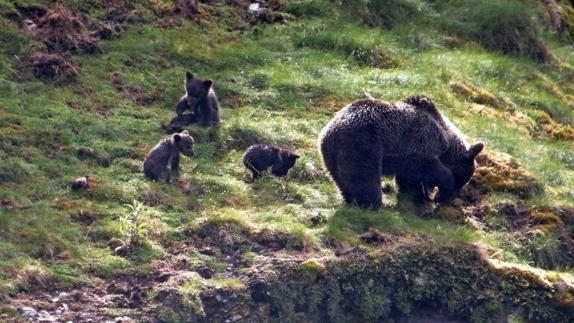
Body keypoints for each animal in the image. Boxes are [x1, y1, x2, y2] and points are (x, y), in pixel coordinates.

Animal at [320, 95, 486, 210]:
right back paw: (371, 203)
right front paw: (442, 188)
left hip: (330, 155)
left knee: (340, 178)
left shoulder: (406, 156)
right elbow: (427, 168)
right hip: (363, 144)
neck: (446, 140)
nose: (447, 197)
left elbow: (408, 178)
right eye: (462, 179)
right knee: (364, 175)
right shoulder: (421, 143)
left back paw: (349, 198)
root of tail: (332, 130)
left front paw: (416, 196)